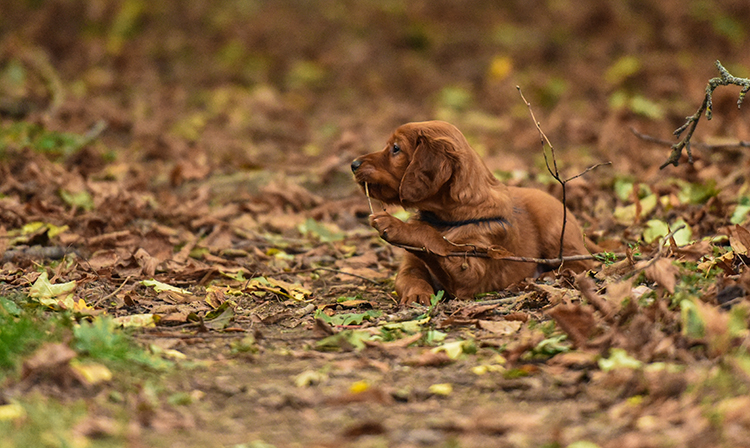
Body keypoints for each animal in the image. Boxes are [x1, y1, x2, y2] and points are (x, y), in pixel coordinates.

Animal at [352, 121, 592, 306]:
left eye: (395, 148)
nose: (353, 164)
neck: (443, 219)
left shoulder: (470, 275)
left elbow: (435, 240)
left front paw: (395, 225)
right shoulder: (411, 265)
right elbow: (411, 277)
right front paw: (418, 294)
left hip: (554, 228)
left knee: (582, 263)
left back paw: (549, 275)